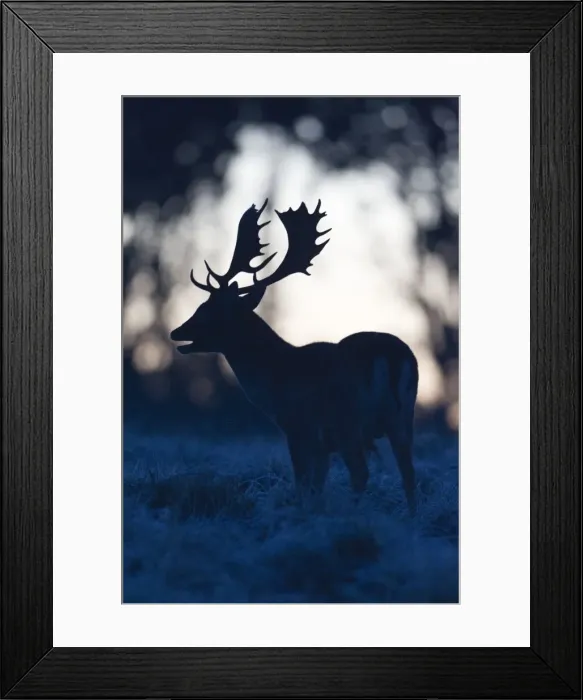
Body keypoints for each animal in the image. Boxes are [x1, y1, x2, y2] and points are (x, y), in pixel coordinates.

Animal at [170, 200, 419, 515]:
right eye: (202, 305)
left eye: (212, 311)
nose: (176, 331)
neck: (275, 377)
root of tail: (393, 358)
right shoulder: (322, 444)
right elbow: (317, 484)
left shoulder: (298, 427)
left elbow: (302, 483)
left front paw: (303, 513)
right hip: (403, 417)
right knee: (409, 473)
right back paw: (411, 518)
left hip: (348, 418)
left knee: (361, 472)